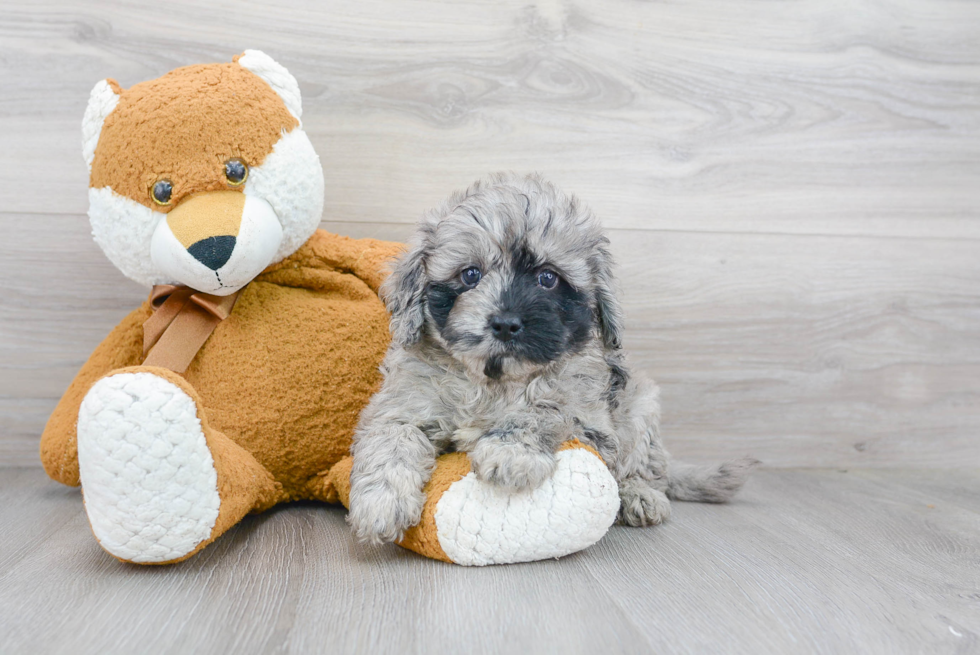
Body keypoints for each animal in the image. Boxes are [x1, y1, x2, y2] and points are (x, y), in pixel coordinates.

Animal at [348, 172, 756, 544]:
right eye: (470, 275)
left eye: (547, 278)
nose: (506, 324)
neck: (495, 381)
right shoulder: (401, 406)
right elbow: (392, 440)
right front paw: (381, 502)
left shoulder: (590, 422)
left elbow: (544, 411)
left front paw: (511, 453)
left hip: (640, 404)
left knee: (645, 463)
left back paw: (640, 495)